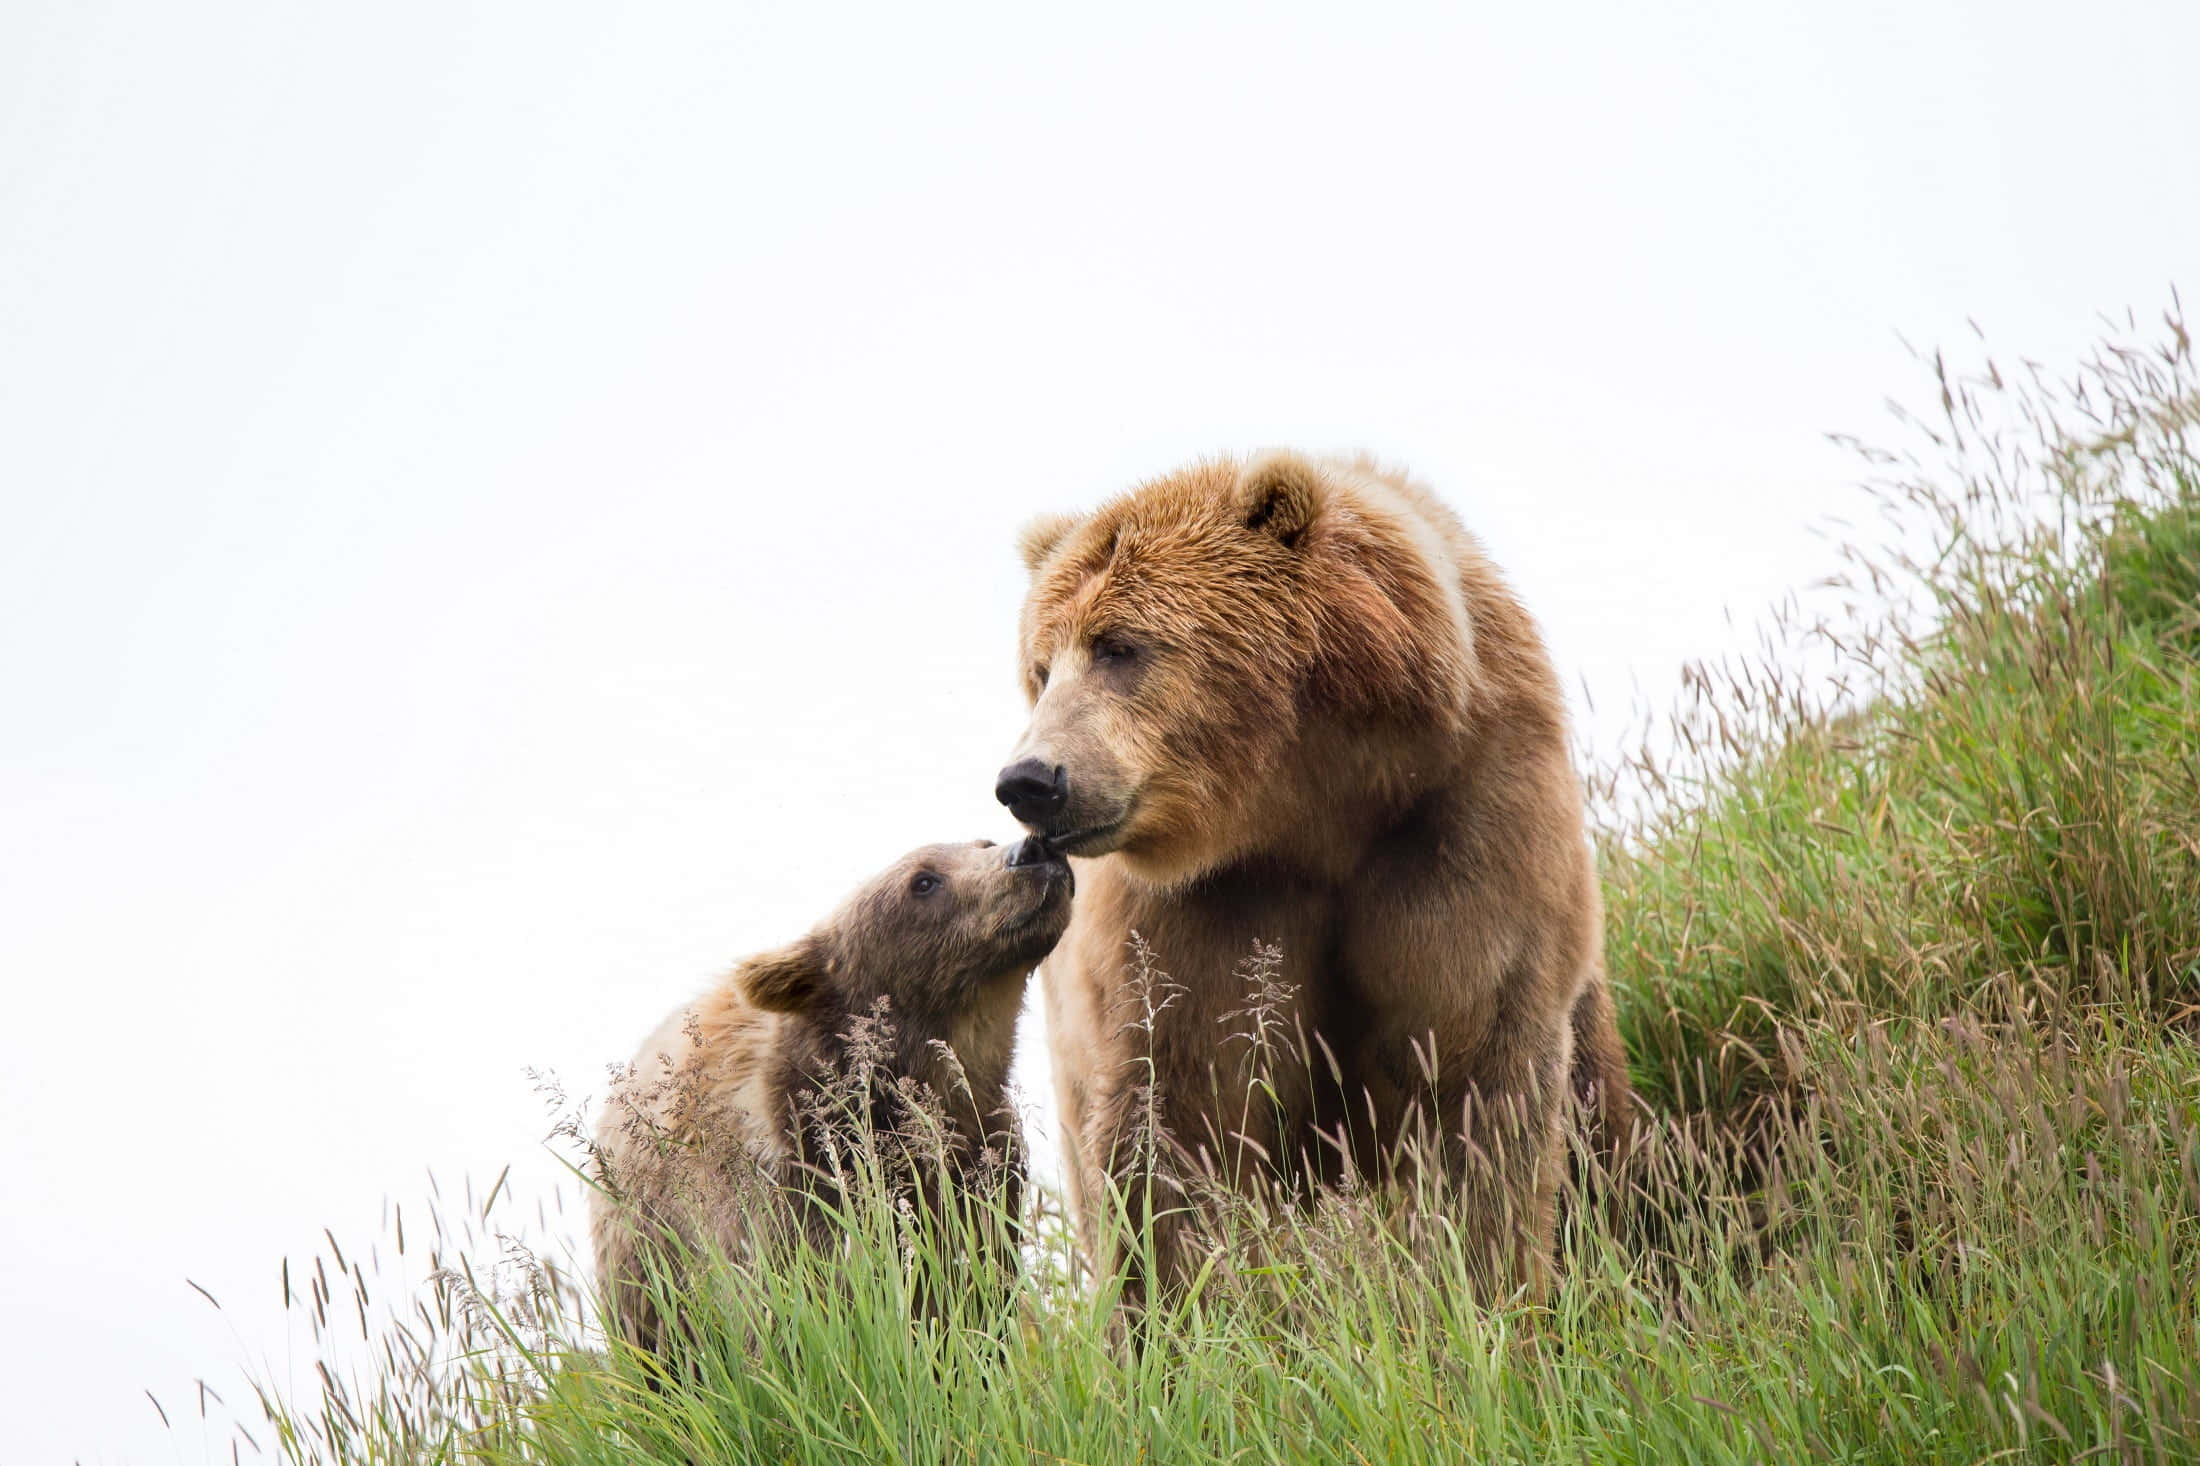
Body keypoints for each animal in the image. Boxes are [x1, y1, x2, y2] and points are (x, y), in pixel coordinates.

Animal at [588, 836, 1072, 1358]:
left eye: (982, 842)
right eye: (923, 881)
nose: (1031, 849)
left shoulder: (986, 1170)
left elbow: (974, 1293)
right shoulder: (791, 1195)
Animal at [995, 450, 1631, 1305]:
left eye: (1119, 646)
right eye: (1041, 667)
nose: (1031, 780)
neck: (1309, 805)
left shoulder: (1463, 824)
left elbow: (1478, 1084)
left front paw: (1485, 1290)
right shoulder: (1199, 912)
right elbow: (1173, 1126)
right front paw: (1179, 1309)